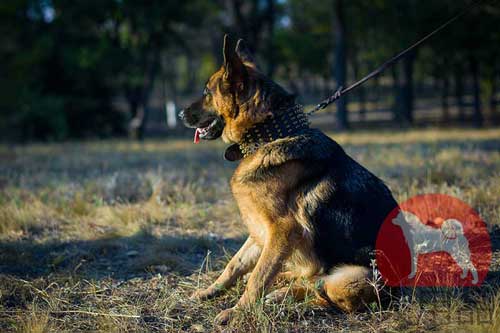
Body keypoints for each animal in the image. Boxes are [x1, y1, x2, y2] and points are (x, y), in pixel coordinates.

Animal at [180, 35, 398, 322]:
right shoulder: (261, 229)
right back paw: (283, 283)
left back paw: (281, 295)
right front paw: (210, 292)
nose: (180, 114)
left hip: (350, 278)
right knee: (308, 279)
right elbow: (235, 264)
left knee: (322, 291)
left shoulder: (282, 230)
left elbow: (259, 278)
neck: (269, 136)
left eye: (207, 92)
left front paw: (236, 312)